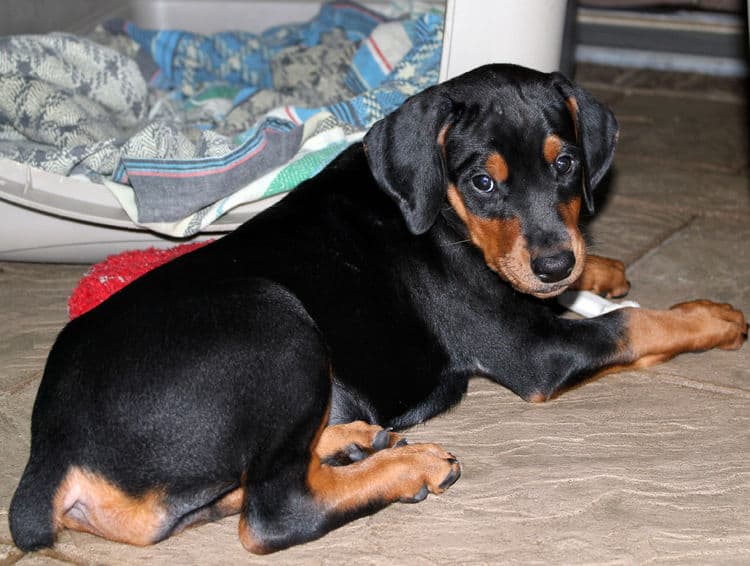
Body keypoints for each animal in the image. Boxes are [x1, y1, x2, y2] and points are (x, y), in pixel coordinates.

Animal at [10, 65, 748, 556]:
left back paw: (350, 440)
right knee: (274, 513)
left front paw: (601, 268)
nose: (554, 265)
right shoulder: (536, 352)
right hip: (276, 325)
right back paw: (406, 465)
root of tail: (52, 450)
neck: (435, 208)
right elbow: (630, 322)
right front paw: (713, 315)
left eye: (565, 162)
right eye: (483, 182)